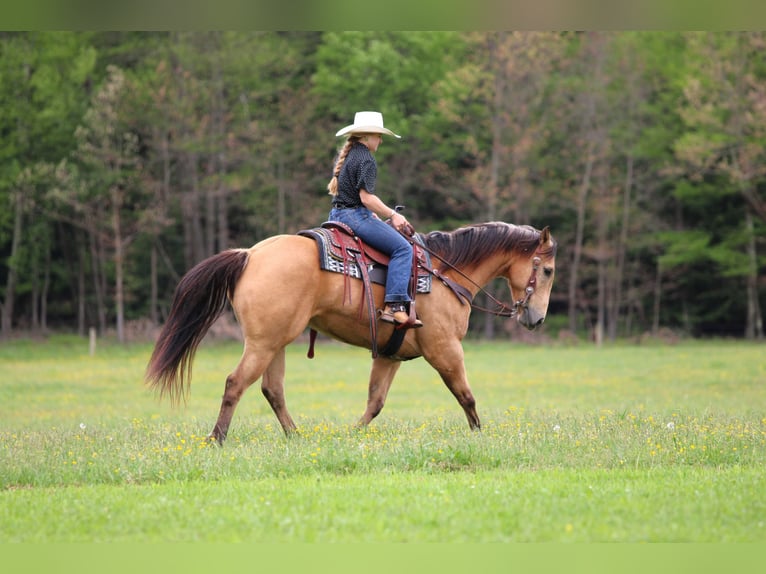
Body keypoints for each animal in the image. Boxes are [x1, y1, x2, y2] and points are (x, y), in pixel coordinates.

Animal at [145, 222, 557, 444]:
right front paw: (479, 436)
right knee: (235, 384)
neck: (444, 274)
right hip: (263, 344)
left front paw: (352, 435)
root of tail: (250, 255)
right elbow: (466, 396)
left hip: (276, 342)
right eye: (548, 270)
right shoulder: (445, 349)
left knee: (272, 390)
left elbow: (375, 402)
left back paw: (295, 437)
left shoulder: (390, 354)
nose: (536, 319)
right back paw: (217, 439)